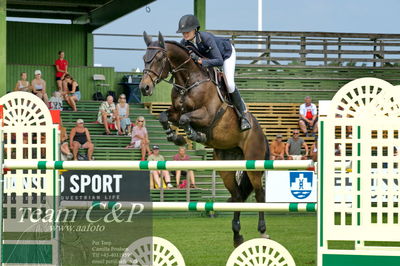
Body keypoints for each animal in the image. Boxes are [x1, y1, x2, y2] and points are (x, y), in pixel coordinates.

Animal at [139, 31, 270, 247]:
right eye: (144, 58)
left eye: (158, 58)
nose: (144, 88)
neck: (188, 80)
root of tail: (262, 133)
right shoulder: (175, 111)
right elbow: (165, 116)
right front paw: (175, 137)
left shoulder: (207, 114)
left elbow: (186, 118)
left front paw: (194, 134)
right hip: (226, 166)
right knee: (237, 195)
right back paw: (237, 235)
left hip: (253, 161)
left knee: (260, 193)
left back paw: (263, 231)